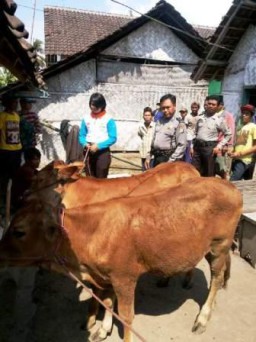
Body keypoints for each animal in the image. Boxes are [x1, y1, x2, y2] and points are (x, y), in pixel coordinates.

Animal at [0, 178, 242, 340]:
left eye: (19, 231)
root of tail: (227, 184)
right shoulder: (107, 277)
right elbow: (108, 303)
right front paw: (102, 329)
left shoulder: (125, 278)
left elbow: (126, 316)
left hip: (219, 246)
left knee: (216, 278)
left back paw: (203, 317)